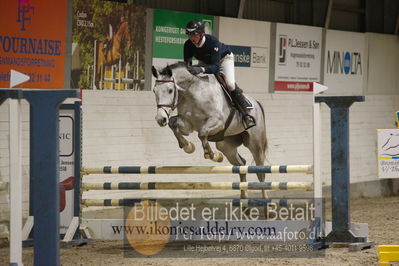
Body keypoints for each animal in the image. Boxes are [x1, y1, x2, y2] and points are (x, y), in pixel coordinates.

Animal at [152, 62, 268, 200]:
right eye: (154, 91)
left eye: (170, 90)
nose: (160, 119)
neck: (193, 91)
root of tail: (257, 103)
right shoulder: (188, 123)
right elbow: (173, 123)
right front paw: (188, 146)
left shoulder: (217, 122)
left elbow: (202, 133)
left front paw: (212, 155)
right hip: (226, 146)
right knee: (241, 164)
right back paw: (244, 198)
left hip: (255, 144)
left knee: (261, 172)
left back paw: (267, 203)